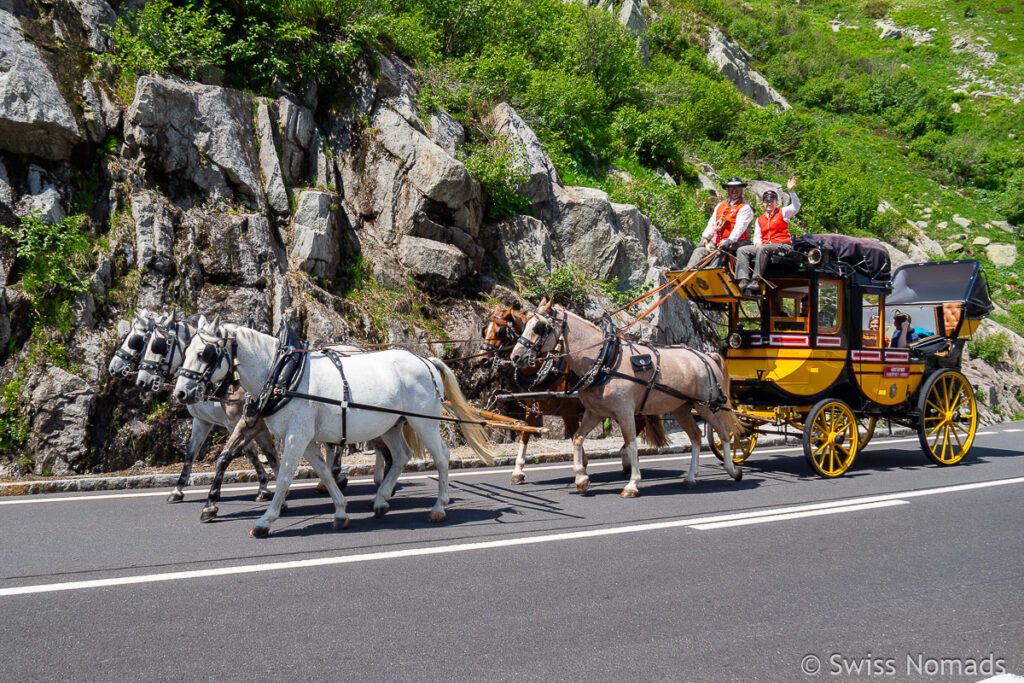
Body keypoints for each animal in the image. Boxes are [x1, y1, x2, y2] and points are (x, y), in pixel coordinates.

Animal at [172, 317, 495, 536]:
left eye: (204, 353)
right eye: (186, 352)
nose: (181, 394)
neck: (283, 375)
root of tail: (426, 360)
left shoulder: (296, 436)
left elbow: (285, 476)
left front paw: (265, 520)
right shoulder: (303, 438)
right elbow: (325, 473)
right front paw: (340, 511)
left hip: (423, 421)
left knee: (441, 456)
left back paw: (439, 507)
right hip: (390, 425)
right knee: (401, 455)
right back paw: (380, 501)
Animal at [481, 305, 671, 485]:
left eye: (500, 331)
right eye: (484, 329)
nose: (483, 359)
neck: (548, 368)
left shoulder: (569, 411)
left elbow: (574, 436)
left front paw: (582, 469)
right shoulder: (533, 408)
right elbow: (525, 434)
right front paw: (518, 471)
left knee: (636, 425)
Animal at [512, 299, 745, 497]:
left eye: (539, 327)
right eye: (524, 324)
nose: (515, 356)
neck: (605, 359)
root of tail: (707, 356)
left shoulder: (624, 413)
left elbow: (631, 445)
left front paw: (632, 484)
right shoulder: (594, 413)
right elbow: (577, 438)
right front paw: (581, 479)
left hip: (707, 406)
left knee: (724, 433)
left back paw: (732, 469)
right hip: (681, 408)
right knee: (696, 437)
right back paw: (690, 477)